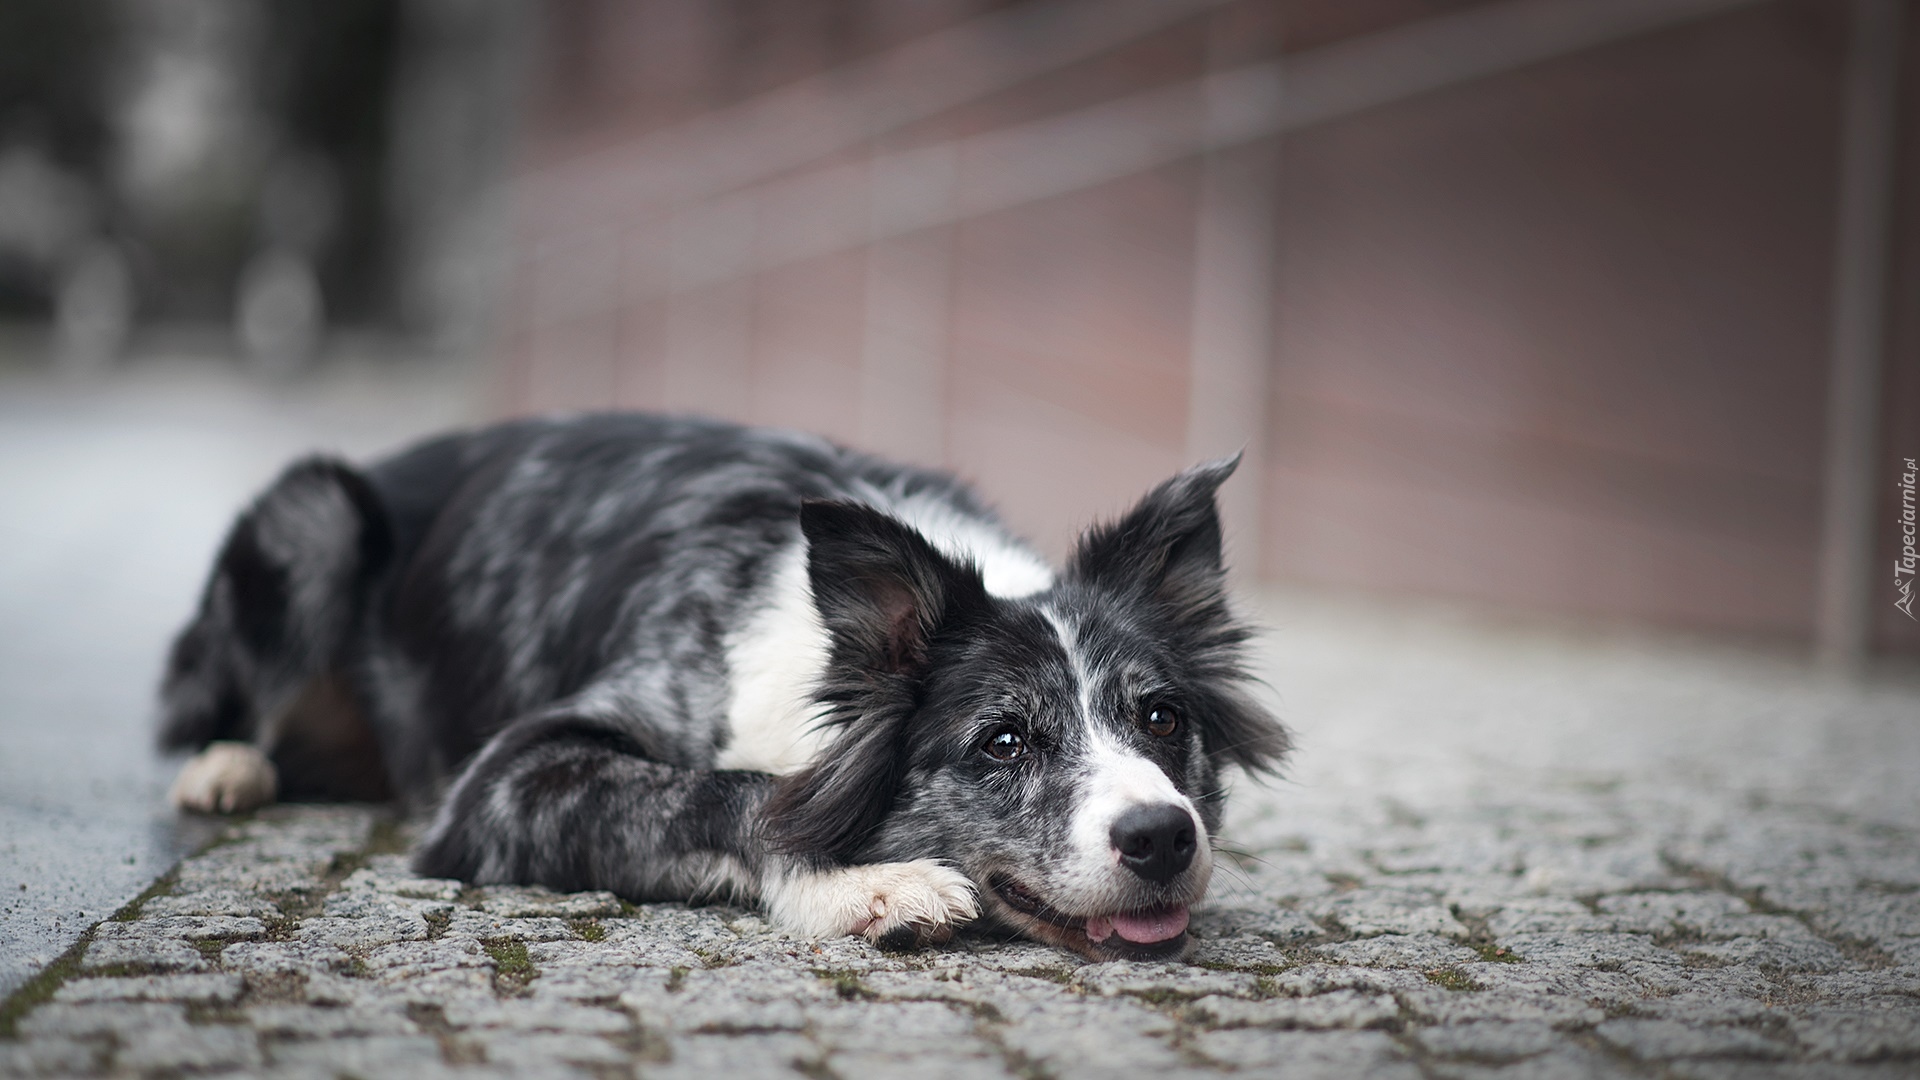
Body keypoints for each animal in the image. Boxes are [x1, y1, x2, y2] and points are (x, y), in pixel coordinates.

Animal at [157, 411, 1282, 957]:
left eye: (1162, 718)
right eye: (1004, 741)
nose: (1162, 839)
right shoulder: (502, 783)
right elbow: (729, 790)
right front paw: (861, 884)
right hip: (315, 514)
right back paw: (225, 769)